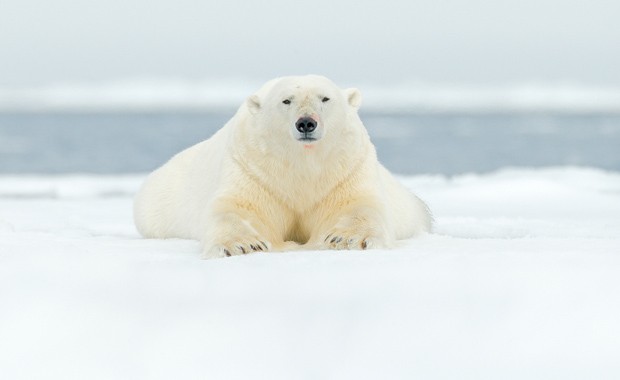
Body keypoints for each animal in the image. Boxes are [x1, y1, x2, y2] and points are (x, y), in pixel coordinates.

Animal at [134, 74, 432, 258]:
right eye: (286, 100)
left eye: (325, 98)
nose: (306, 123)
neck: (301, 166)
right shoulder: (251, 170)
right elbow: (236, 208)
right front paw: (243, 245)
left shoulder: (346, 170)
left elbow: (358, 205)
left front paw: (346, 239)